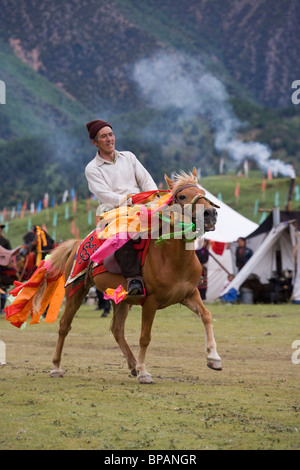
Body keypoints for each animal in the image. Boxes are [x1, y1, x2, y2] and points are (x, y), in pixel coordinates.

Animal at [49, 171, 221, 384]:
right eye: (181, 196)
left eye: (203, 193)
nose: (210, 214)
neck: (173, 258)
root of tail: (78, 243)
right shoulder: (151, 302)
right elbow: (144, 337)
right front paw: (143, 372)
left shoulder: (190, 295)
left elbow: (207, 316)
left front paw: (214, 358)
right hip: (76, 290)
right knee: (64, 325)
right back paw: (56, 366)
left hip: (120, 299)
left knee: (117, 330)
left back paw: (131, 365)